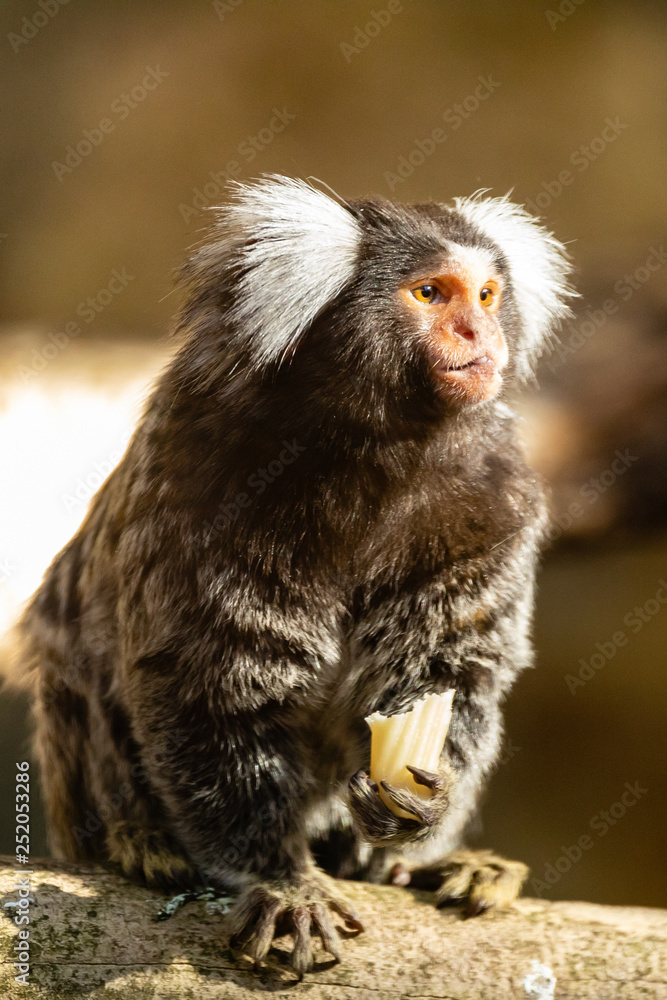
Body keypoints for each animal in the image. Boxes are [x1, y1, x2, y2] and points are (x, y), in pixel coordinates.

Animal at [13, 175, 573, 976]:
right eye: (429, 294)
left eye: (488, 295)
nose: (478, 335)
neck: (376, 451)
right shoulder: (195, 486)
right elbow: (213, 690)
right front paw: (282, 879)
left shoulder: (497, 500)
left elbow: (455, 673)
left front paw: (417, 818)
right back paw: (134, 843)